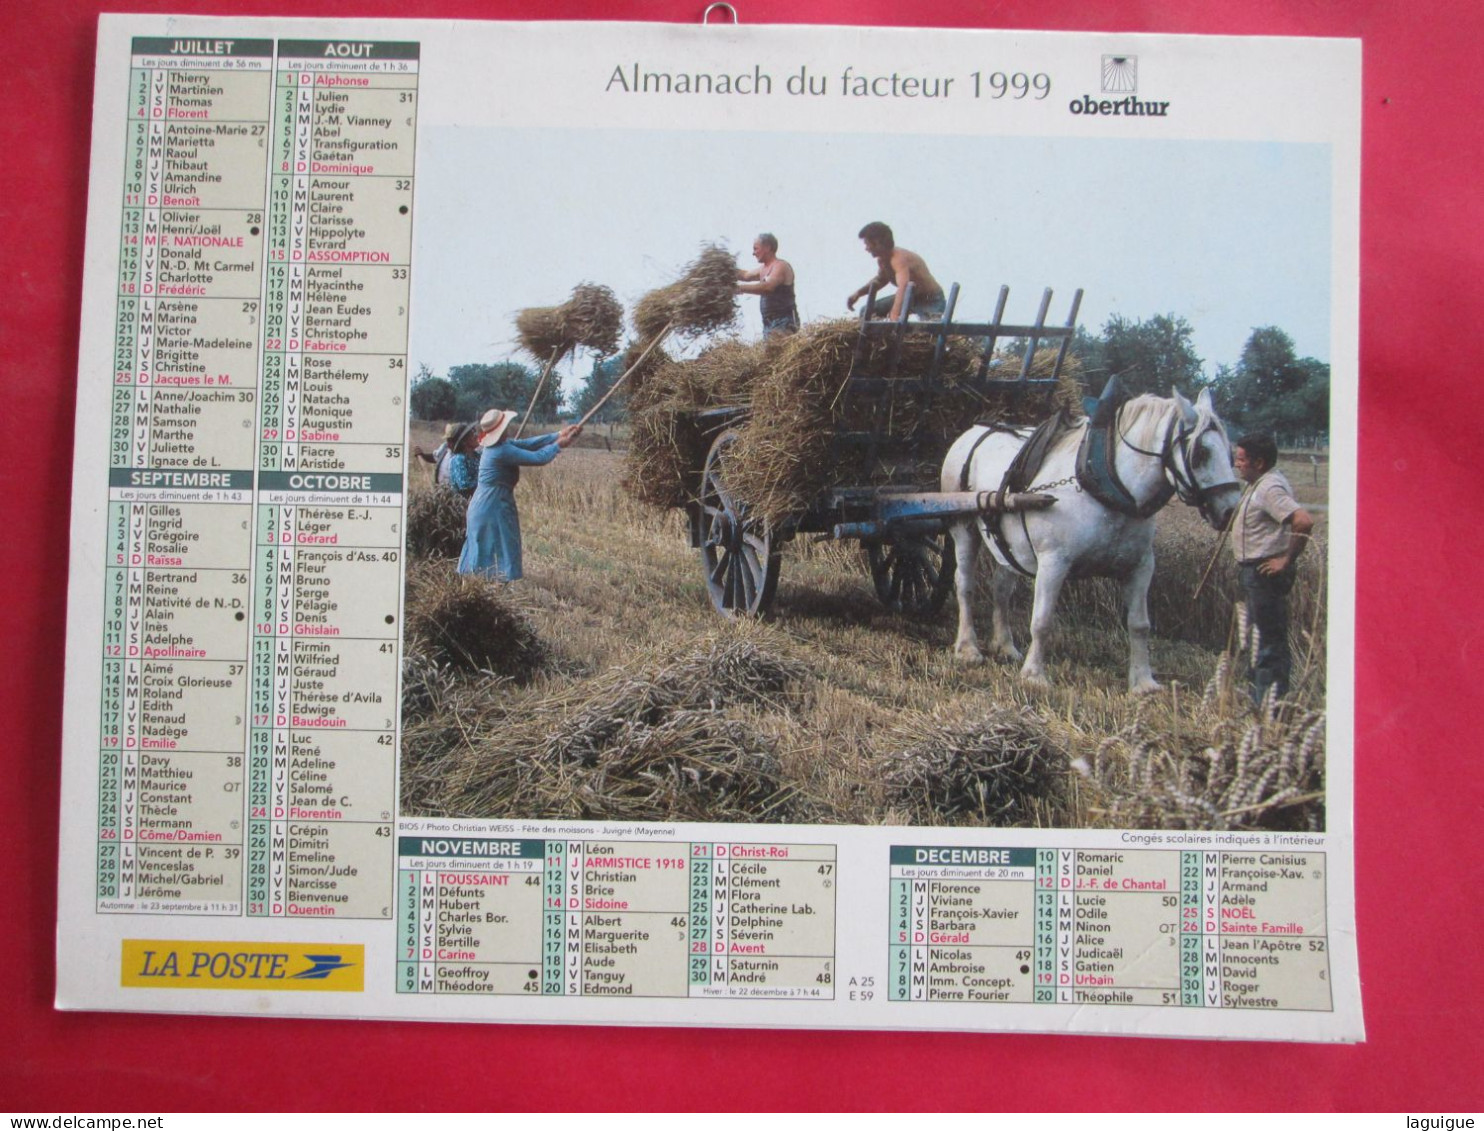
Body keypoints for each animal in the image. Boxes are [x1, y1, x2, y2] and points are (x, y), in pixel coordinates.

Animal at [943, 385, 1246, 688]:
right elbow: (1042, 621)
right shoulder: (1053, 562)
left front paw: (1143, 682)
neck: (1105, 485)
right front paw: (1035, 676)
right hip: (964, 528)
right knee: (965, 584)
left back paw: (1005, 646)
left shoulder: (1140, 566)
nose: (1231, 511)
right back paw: (968, 648)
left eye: (1231, 455)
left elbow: (1140, 625)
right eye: (1200, 453)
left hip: (1008, 545)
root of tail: (974, 431)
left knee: (1001, 589)